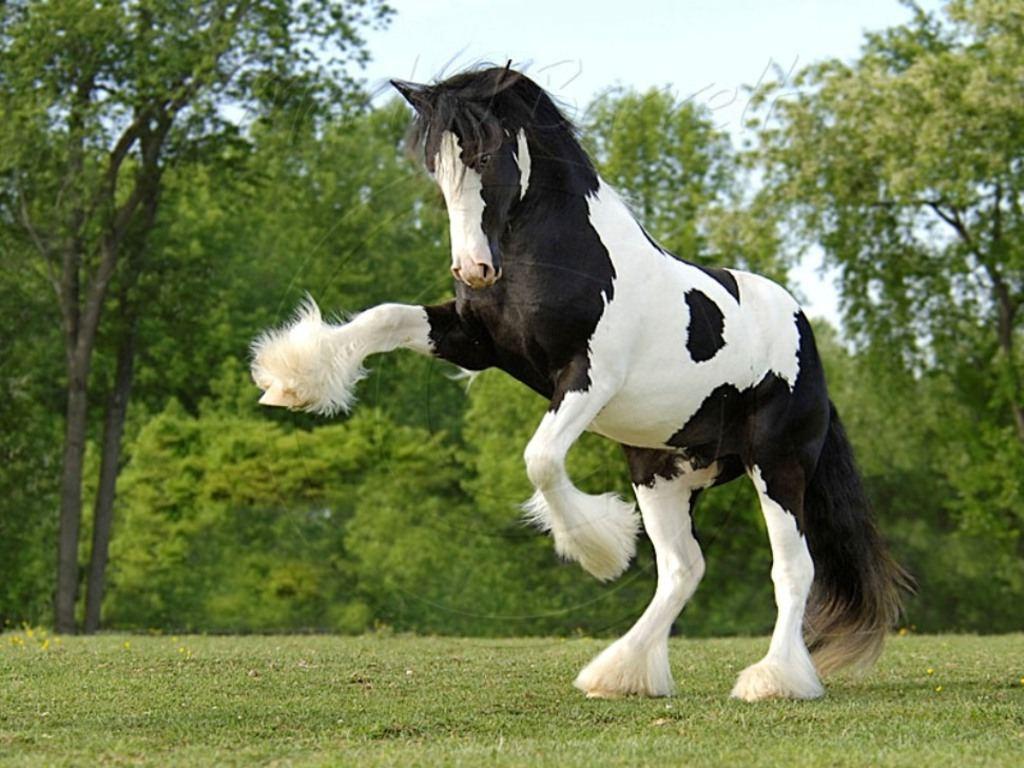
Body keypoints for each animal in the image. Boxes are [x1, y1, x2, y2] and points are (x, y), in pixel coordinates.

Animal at [250, 65, 910, 701]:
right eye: (434, 163)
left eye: (486, 154)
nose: (473, 269)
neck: (557, 255)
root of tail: (805, 334)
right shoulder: (474, 341)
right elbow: (383, 318)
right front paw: (289, 379)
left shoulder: (589, 377)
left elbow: (540, 458)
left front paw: (598, 550)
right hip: (664, 469)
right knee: (683, 568)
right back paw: (620, 674)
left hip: (777, 464)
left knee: (793, 568)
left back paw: (771, 681)